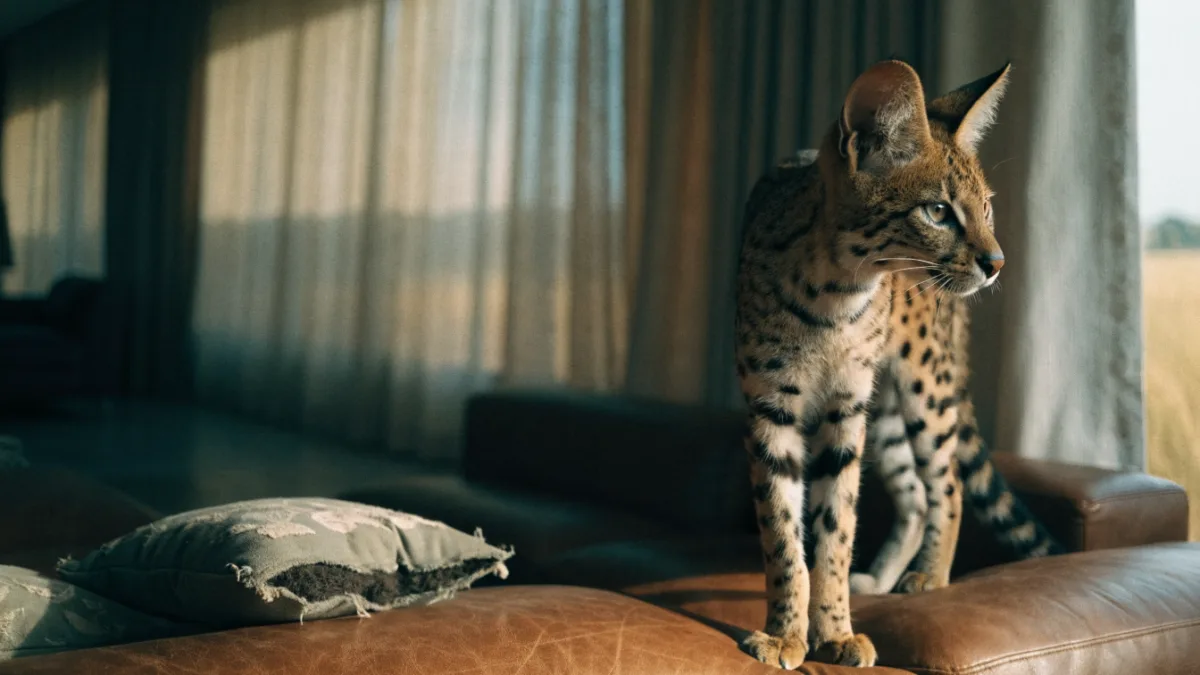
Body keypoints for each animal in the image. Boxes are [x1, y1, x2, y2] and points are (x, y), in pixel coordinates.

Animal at [734, 59, 1061, 670]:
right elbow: (783, 532)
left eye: (986, 207)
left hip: (920, 386)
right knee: (913, 494)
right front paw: (787, 634)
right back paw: (884, 579)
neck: (836, 297)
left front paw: (833, 630)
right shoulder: (771, 406)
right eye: (938, 211)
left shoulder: (845, 408)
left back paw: (930, 577)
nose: (998, 263)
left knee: (947, 482)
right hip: (883, 410)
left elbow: (836, 527)